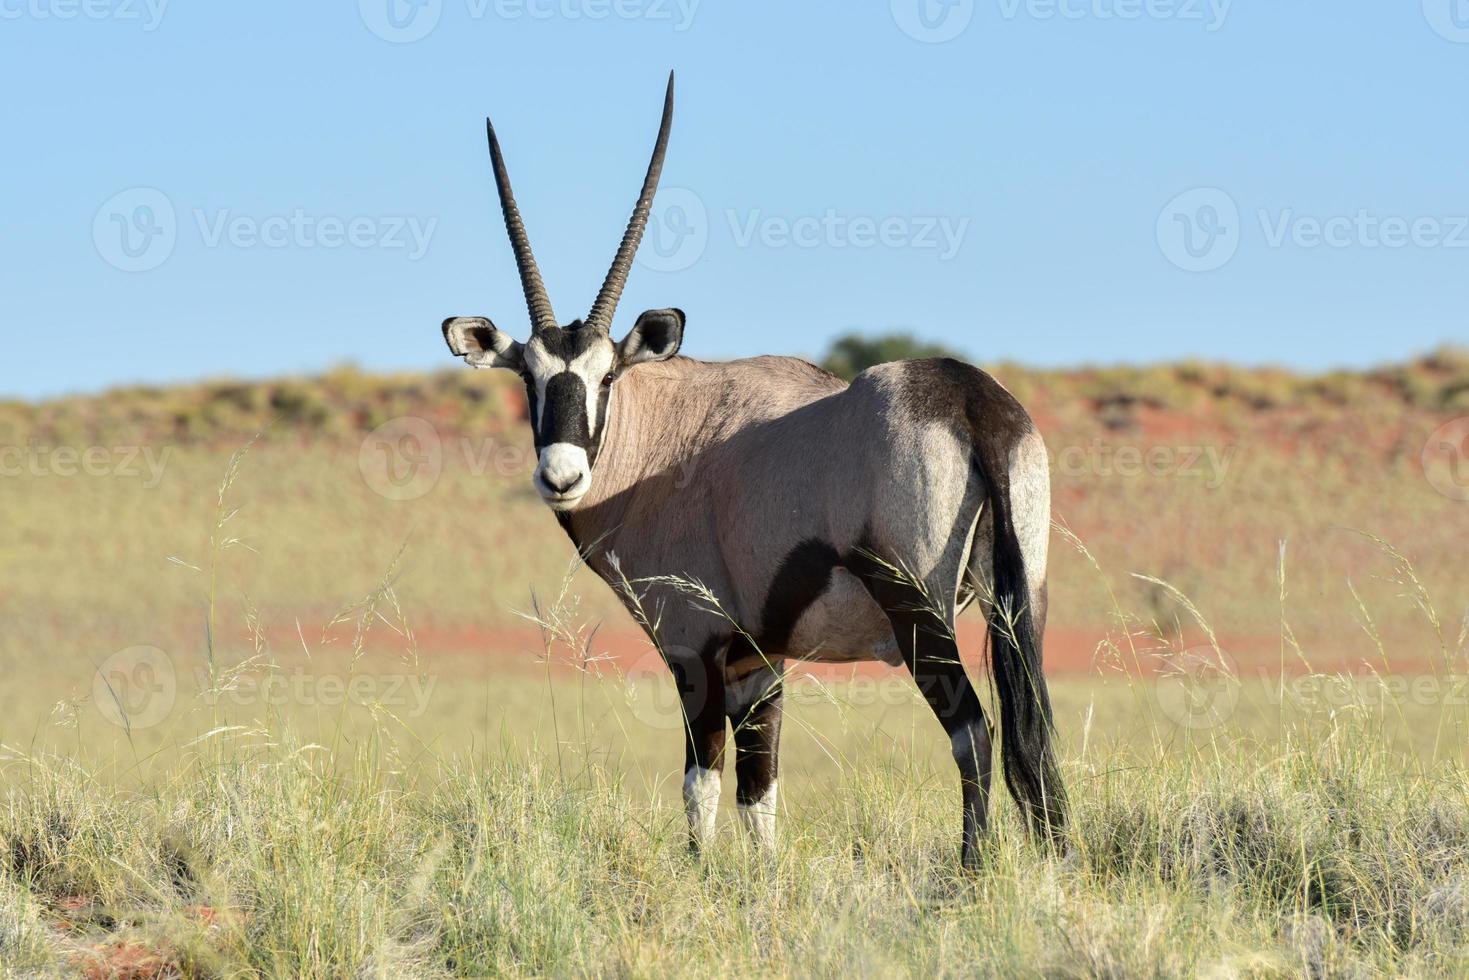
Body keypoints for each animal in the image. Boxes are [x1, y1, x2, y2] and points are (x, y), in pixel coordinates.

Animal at [437, 74, 1069, 863]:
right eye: (529, 376)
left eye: (605, 376)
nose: (561, 476)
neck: (668, 437)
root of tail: (969, 398)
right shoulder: (759, 662)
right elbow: (758, 793)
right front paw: (761, 879)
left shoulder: (696, 649)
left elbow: (701, 784)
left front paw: (700, 873)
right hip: (1021, 602)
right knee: (1032, 736)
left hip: (919, 614)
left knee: (974, 734)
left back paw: (971, 868)